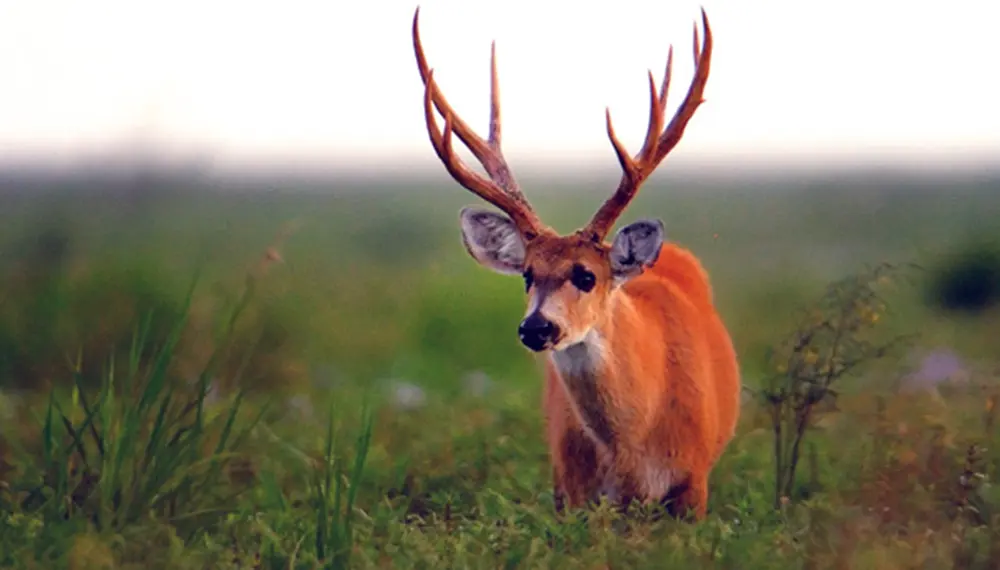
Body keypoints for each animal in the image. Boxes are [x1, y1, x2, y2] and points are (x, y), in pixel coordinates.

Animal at [411, 6, 740, 520]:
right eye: (527, 275)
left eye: (586, 275)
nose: (536, 328)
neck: (632, 449)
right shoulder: (571, 491)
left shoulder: (693, 484)